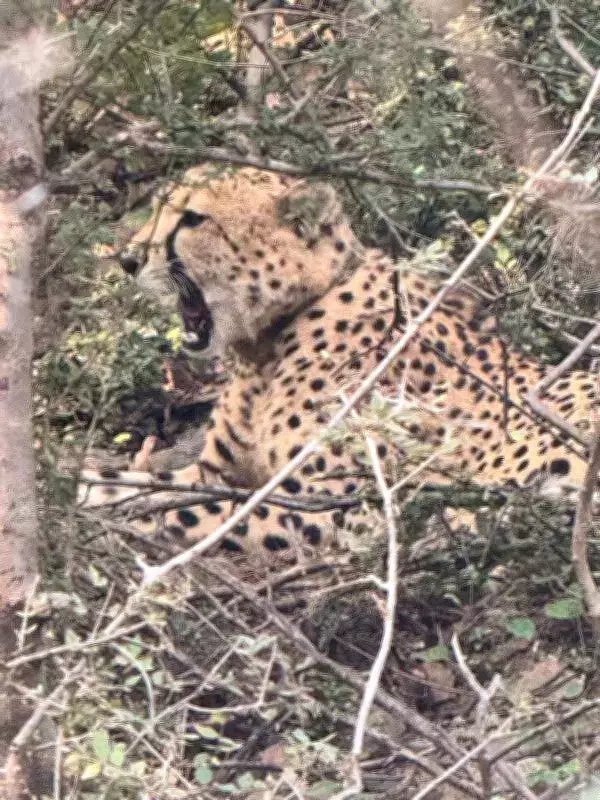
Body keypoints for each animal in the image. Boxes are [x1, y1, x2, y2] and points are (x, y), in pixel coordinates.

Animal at [78, 165, 598, 563]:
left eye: (191, 218)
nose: (127, 259)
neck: (265, 348)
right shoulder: (213, 475)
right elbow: (133, 483)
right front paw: (77, 493)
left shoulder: (339, 506)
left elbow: (186, 512)